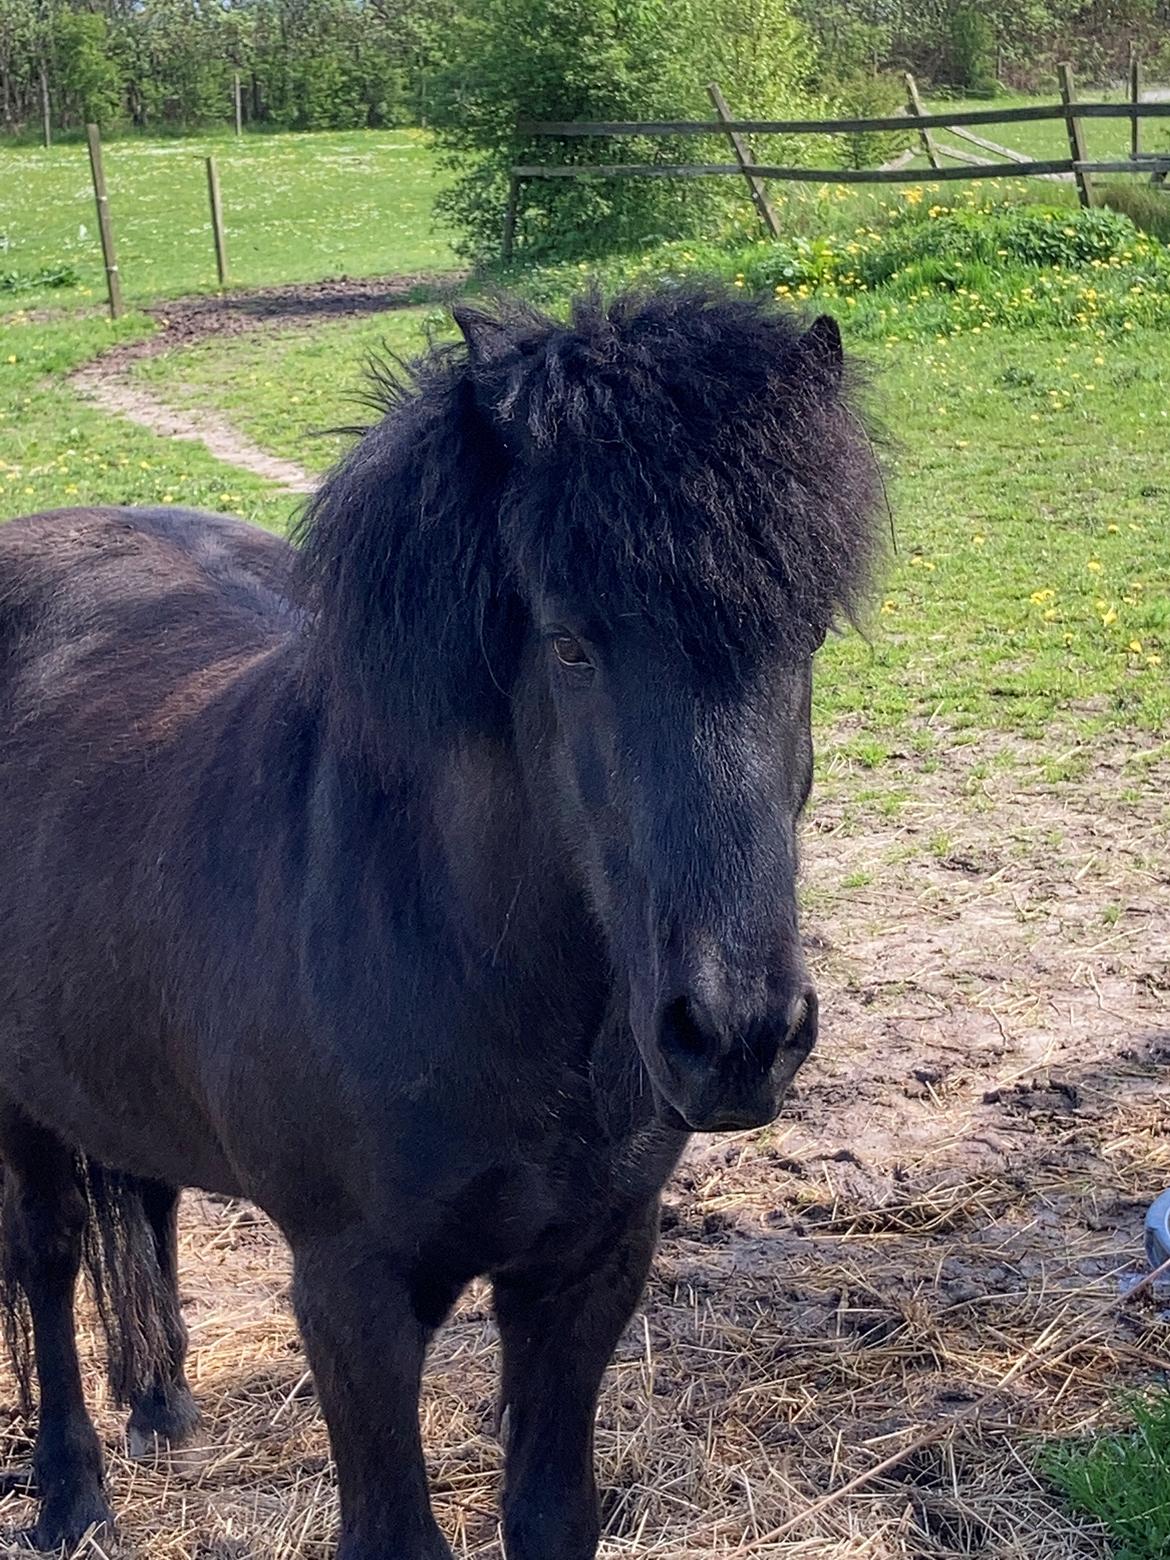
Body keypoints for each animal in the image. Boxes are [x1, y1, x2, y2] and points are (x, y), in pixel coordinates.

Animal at [0, 287, 879, 1553]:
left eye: (803, 640)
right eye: (570, 644)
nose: (736, 1039)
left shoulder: (587, 1270)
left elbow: (552, 1514)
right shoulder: (351, 1298)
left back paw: (163, 1406)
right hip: (19, 1097)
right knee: (49, 1250)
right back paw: (71, 1493)